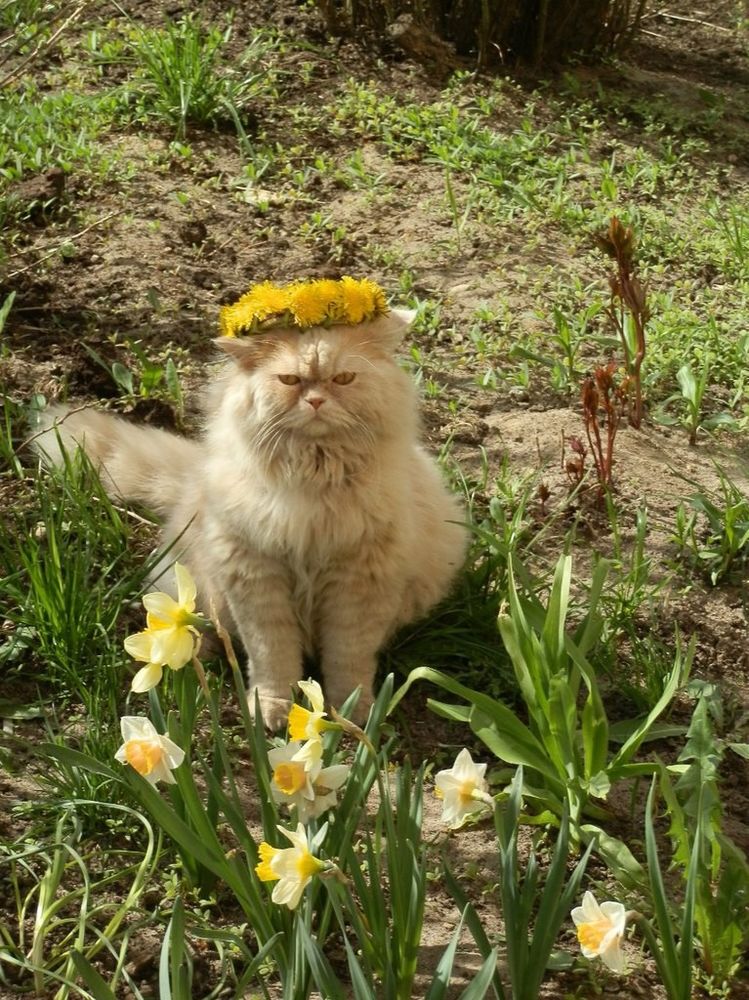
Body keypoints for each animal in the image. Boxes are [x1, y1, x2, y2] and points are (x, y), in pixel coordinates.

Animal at [36, 308, 468, 732]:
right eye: (290, 380)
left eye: (343, 378)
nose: (315, 400)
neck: (313, 482)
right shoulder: (256, 578)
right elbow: (272, 658)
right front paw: (271, 711)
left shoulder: (359, 583)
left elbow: (348, 660)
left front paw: (352, 713)